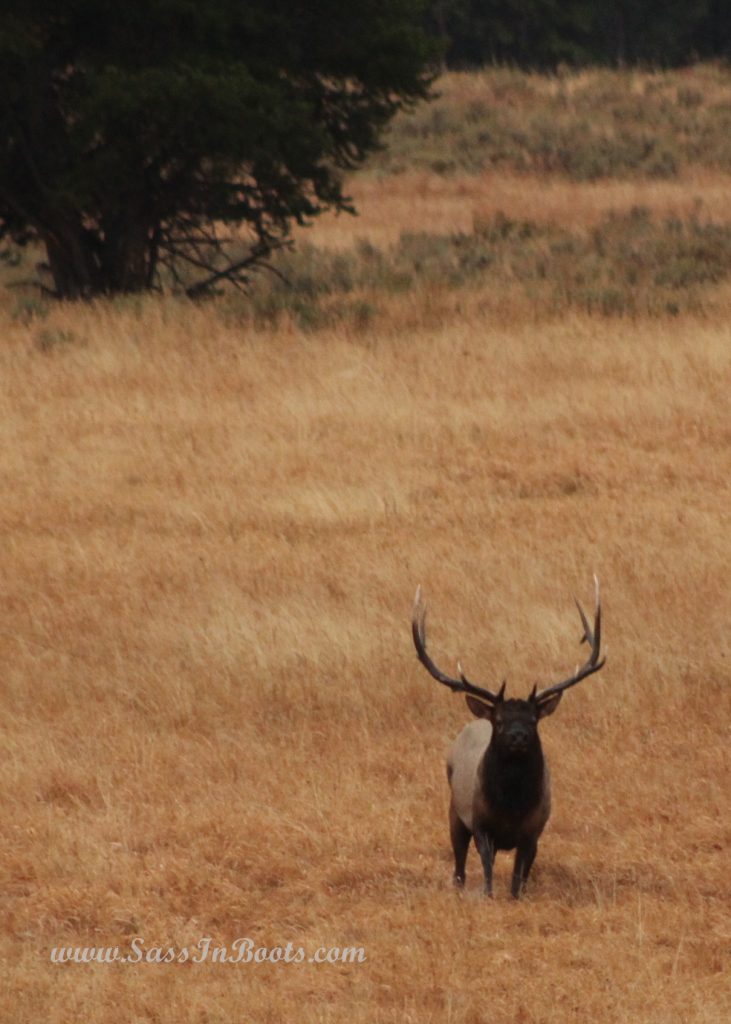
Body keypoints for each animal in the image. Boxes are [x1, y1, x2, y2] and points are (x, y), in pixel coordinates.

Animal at [409, 577, 602, 897]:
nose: (518, 737)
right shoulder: (480, 823)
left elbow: (518, 875)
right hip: (455, 812)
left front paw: (515, 897)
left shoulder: (534, 829)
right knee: (459, 863)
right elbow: (487, 869)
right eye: (499, 721)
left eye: (533, 720)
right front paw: (488, 896)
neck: (511, 806)